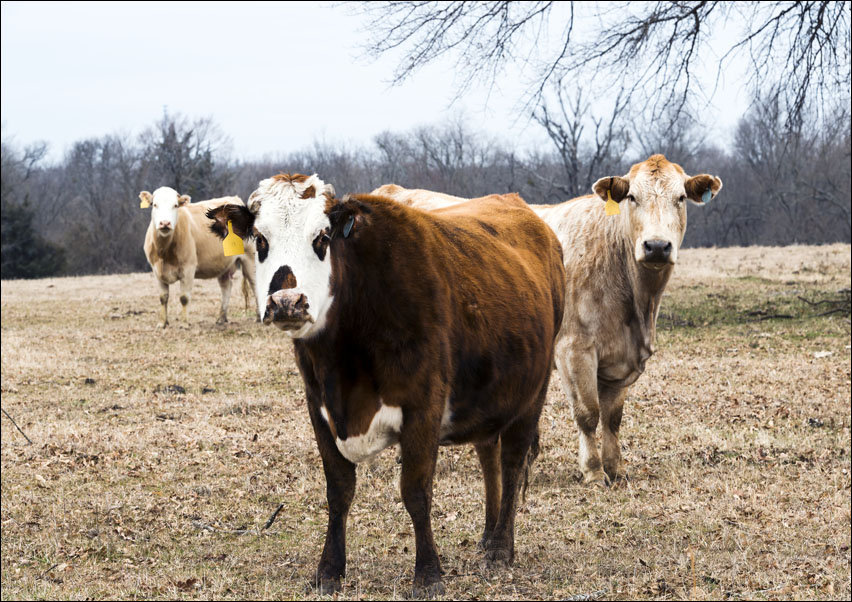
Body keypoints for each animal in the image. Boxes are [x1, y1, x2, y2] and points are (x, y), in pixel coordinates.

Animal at [140, 187, 260, 327]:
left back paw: (259, 316)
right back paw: (221, 318)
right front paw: (162, 323)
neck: (165, 252)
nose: (165, 223)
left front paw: (184, 324)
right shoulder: (156, 270)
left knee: (255, 284)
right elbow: (163, 297)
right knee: (226, 286)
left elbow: (184, 297)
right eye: (154, 204)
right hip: (224, 264)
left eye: (175, 205)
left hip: (250, 258)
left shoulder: (188, 268)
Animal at [206, 173, 565, 597]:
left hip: (532, 394)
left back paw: (500, 548)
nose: (287, 302)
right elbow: (339, 490)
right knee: (488, 455)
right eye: (261, 239)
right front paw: (329, 569)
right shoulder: (319, 408)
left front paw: (428, 574)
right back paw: (488, 534)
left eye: (322, 237)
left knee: (511, 462)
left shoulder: (423, 407)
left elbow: (415, 491)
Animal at [372, 154, 723, 487]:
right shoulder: (573, 349)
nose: (657, 246)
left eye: (680, 198)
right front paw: (593, 472)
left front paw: (615, 469)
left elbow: (613, 417)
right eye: (632, 197)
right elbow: (588, 413)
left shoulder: (619, 358)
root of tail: (391, 191)